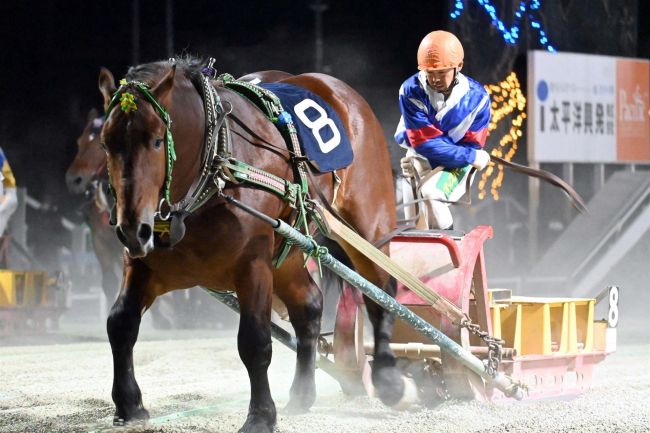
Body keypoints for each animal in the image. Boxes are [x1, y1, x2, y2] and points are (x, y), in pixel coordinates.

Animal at [97, 58, 404, 433]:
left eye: (157, 141)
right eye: (107, 143)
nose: (130, 228)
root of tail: (340, 90)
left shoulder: (253, 264)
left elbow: (255, 342)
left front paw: (260, 414)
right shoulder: (144, 264)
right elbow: (121, 323)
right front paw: (129, 403)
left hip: (369, 226)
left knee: (381, 292)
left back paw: (388, 376)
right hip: (289, 251)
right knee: (309, 305)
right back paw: (302, 393)